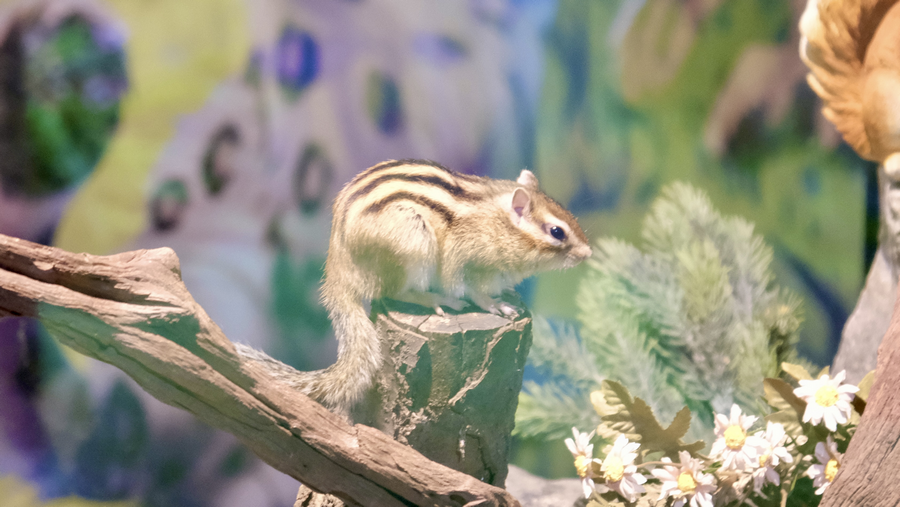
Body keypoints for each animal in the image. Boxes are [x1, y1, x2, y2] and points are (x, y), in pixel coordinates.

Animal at [237, 159, 592, 414]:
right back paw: (435, 300)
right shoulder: (467, 265)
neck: (497, 222)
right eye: (557, 232)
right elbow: (476, 291)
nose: (588, 253)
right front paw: (496, 305)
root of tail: (339, 268)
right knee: (394, 293)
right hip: (412, 248)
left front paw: (505, 295)